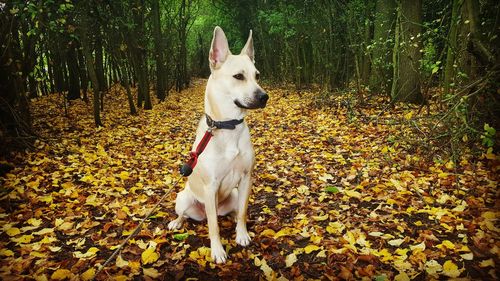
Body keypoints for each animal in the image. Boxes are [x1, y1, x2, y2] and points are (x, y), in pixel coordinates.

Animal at [168, 26, 270, 262]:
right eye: (238, 76)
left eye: (257, 75)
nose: (264, 96)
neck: (228, 126)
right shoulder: (211, 186)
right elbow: (214, 226)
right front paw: (217, 250)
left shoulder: (246, 179)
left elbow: (243, 212)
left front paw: (241, 234)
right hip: (184, 198)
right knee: (188, 215)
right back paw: (177, 222)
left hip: (233, 195)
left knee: (231, 212)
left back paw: (231, 218)